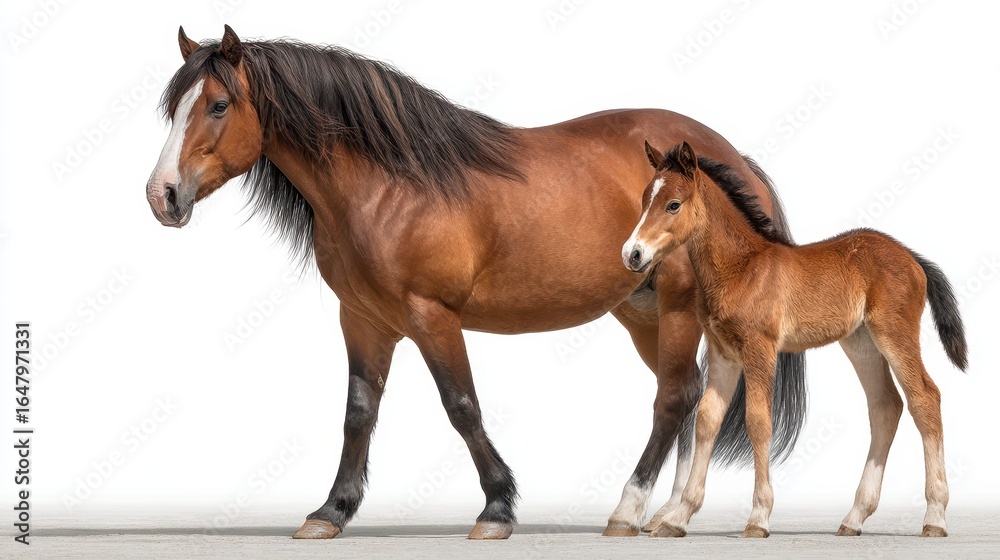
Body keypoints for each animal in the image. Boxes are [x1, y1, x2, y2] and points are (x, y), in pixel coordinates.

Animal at [146, 25, 808, 540]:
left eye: (218, 106)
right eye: (174, 107)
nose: (163, 196)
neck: (390, 185)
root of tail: (731, 159)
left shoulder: (432, 315)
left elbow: (461, 405)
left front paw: (496, 507)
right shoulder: (363, 318)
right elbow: (358, 411)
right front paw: (331, 511)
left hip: (675, 308)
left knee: (672, 398)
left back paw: (631, 508)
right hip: (641, 310)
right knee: (691, 394)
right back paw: (667, 513)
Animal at [622, 141, 968, 539]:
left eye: (673, 204)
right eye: (644, 199)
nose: (632, 254)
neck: (740, 267)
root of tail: (912, 256)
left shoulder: (760, 347)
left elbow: (758, 420)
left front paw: (758, 518)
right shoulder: (723, 352)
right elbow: (708, 419)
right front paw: (678, 518)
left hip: (894, 333)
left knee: (925, 398)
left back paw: (935, 517)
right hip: (861, 342)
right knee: (885, 406)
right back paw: (854, 517)